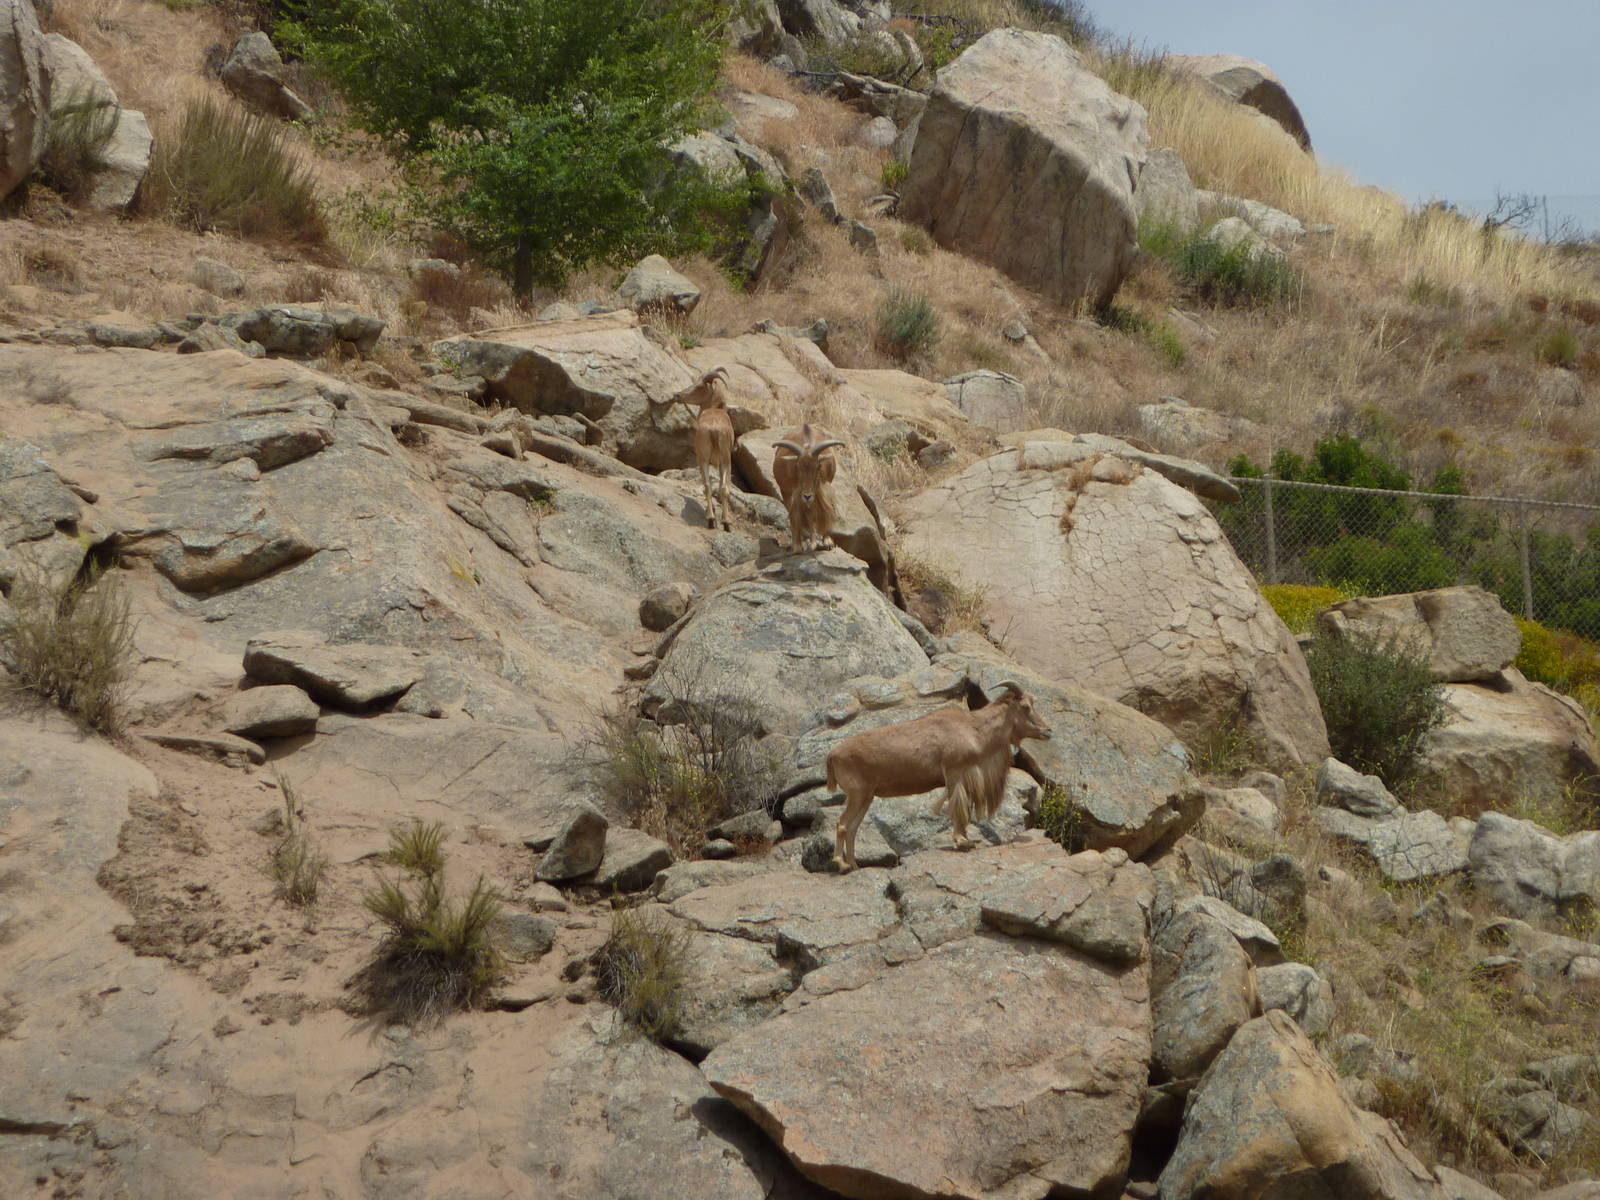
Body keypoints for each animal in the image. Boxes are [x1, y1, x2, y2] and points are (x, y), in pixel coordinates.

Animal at [657, 366, 736, 531]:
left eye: (699, 386)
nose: (678, 395)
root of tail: (714, 430)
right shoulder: (721, 463)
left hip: (704, 459)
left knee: (708, 485)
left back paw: (712, 519)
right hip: (722, 460)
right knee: (720, 487)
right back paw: (723, 522)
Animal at [772, 424, 845, 553]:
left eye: (818, 466)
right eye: (797, 466)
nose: (807, 496)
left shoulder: (825, 488)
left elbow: (826, 510)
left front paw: (827, 541)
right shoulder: (794, 494)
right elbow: (797, 516)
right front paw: (798, 546)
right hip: (786, 492)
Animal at [824, 682, 1052, 872]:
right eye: (1025, 707)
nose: (1048, 731)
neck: (973, 729)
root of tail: (832, 754)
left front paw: (966, 839)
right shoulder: (954, 773)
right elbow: (958, 807)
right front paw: (962, 841)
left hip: (867, 797)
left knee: (852, 828)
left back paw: (854, 865)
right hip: (857, 794)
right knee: (842, 824)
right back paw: (841, 864)